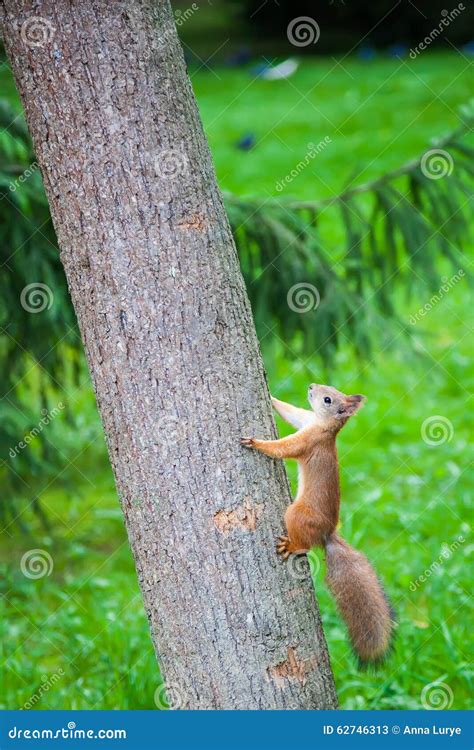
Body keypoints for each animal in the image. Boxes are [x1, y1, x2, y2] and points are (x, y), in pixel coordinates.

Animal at [241, 384, 392, 668]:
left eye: (328, 399)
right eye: (329, 391)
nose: (311, 386)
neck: (322, 425)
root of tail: (327, 533)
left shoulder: (307, 440)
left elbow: (284, 448)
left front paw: (257, 443)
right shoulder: (305, 420)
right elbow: (291, 412)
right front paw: (272, 396)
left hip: (297, 514)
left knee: (304, 545)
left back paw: (291, 546)